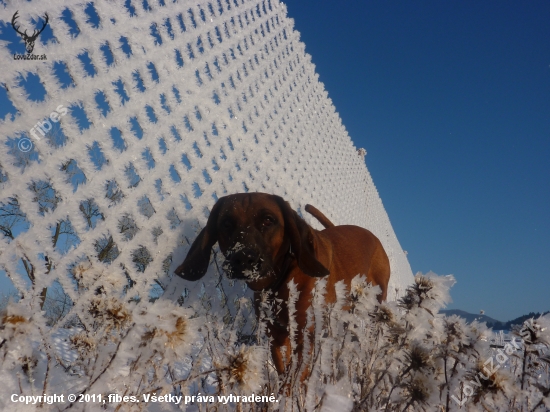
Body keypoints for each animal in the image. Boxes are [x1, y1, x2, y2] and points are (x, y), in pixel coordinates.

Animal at [175, 193, 390, 376]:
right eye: (226, 223)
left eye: (268, 220)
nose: (243, 259)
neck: (281, 280)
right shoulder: (276, 337)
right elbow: (283, 371)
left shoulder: (304, 337)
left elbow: (296, 378)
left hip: (377, 300)